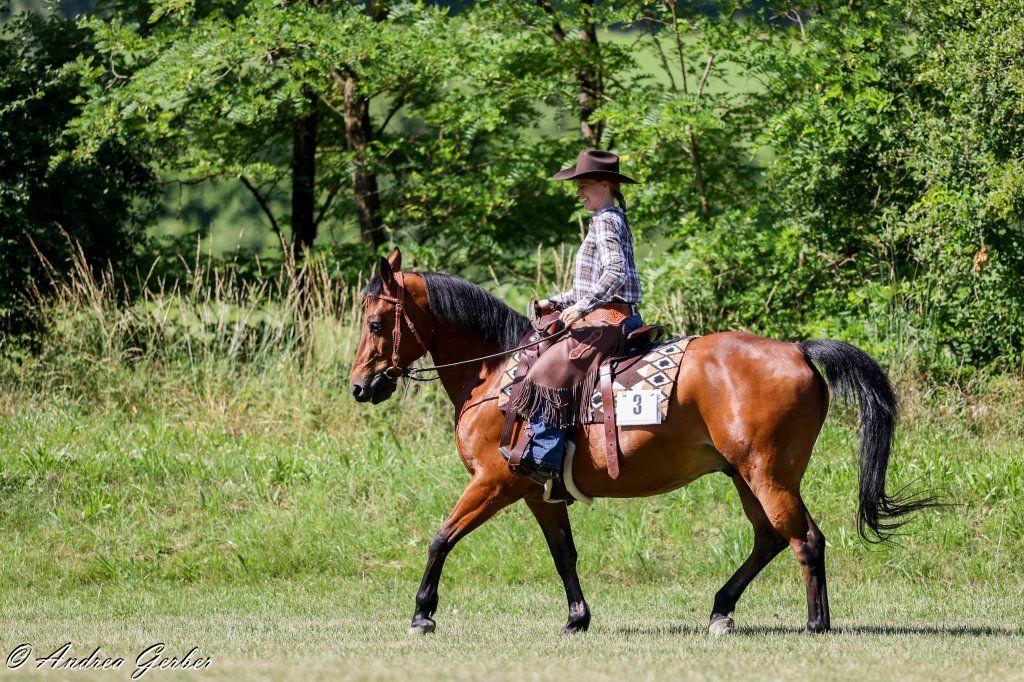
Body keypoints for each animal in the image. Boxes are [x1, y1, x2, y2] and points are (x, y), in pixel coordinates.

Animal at [349, 248, 931, 636]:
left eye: (377, 323)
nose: (360, 386)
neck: (497, 375)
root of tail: (799, 350)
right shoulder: (538, 492)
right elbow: (564, 555)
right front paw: (577, 619)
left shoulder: (494, 482)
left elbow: (440, 538)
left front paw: (422, 613)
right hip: (746, 475)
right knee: (771, 539)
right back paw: (722, 611)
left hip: (768, 473)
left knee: (804, 540)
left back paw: (814, 624)